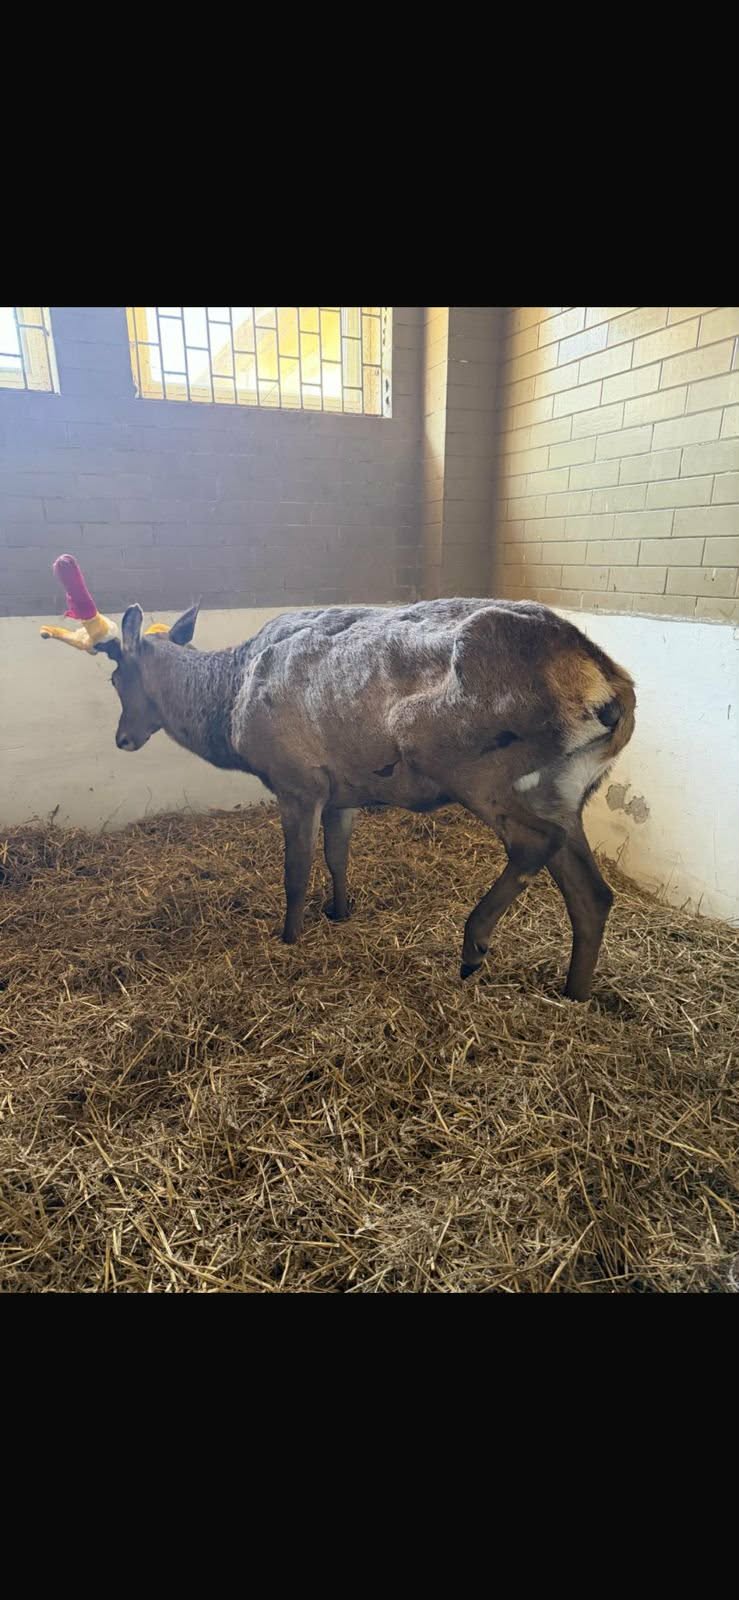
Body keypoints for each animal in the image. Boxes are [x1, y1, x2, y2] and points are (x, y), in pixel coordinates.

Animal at [92, 595, 635, 1001]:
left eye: (116, 677)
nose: (122, 738)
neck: (228, 710)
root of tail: (613, 688)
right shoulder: (343, 789)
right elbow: (337, 855)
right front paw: (340, 910)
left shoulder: (298, 780)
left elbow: (295, 871)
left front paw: (290, 936)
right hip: (563, 788)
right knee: (591, 892)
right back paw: (574, 993)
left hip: (462, 759)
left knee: (533, 842)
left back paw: (473, 945)